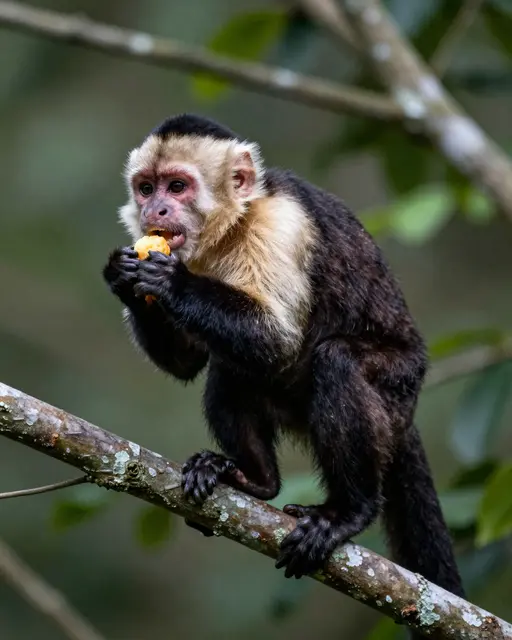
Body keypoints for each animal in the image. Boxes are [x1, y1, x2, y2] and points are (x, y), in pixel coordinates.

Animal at [103, 114, 464, 612]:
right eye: (145, 188)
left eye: (176, 187)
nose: (154, 211)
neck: (233, 226)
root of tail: (407, 416)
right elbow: (188, 363)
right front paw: (123, 275)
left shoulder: (280, 225)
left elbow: (277, 341)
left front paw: (171, 282)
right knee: (228, 368)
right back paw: (256, 481)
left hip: (397, 389)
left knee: (336, 360)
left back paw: (349, 512)